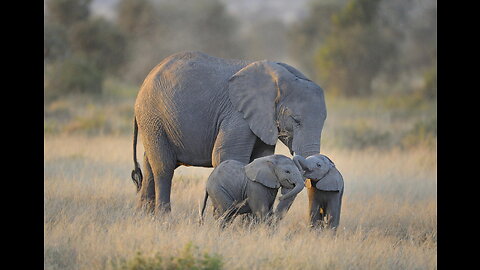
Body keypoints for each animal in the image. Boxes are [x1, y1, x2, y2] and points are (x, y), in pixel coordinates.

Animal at [130, 50, 326, 215]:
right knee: (164, 166)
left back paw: (144, 217)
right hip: (152, 116)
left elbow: (260, 158)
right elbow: (227, 156)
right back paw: (164, 218)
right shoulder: (237, 115)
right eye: (296, 120)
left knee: (149, 163)